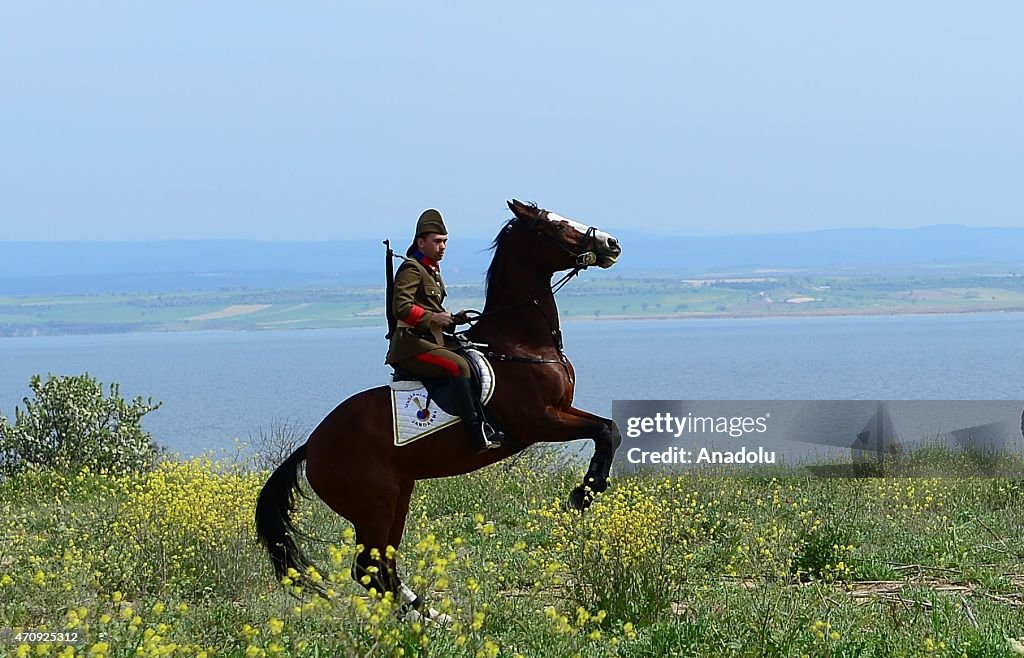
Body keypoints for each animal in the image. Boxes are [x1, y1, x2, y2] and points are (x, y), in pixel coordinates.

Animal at [256, 198, 622, 622]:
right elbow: (606, 430)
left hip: (398, 495)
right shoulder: (540, 421)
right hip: (374, 504)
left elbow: (608, 429)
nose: (611, 243)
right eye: (557, 227)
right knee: (367, 566)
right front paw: (585, 493)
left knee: (383, 563)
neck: (521, 344)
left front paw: (589, 488)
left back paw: (427, 613)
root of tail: (311, 446)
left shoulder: (562, 409)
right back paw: (418, 617)